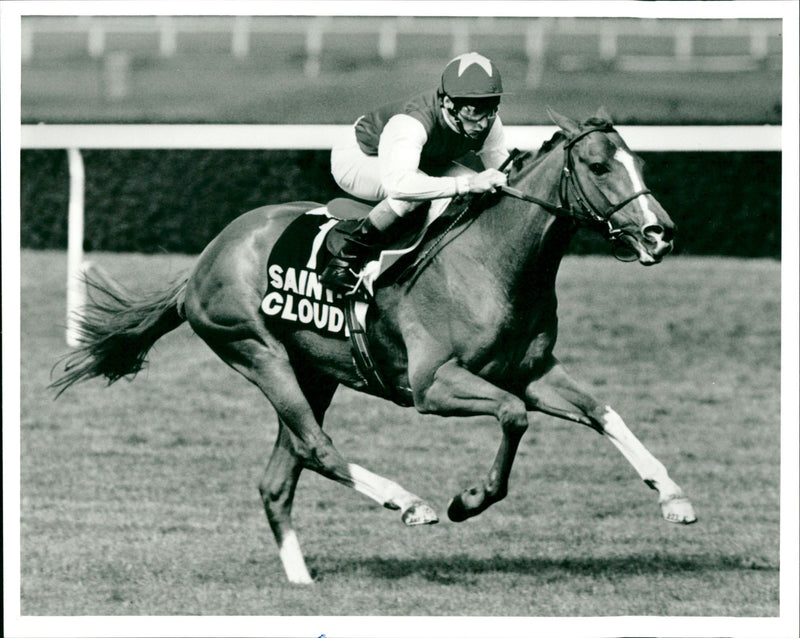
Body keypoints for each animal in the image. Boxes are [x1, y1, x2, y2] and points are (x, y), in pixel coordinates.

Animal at [53, 110, 696, 584]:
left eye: (639, 162)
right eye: (597, 165)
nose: (660, 233)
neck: (493, 263)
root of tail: (203, 263)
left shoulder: (533, 370)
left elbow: (602, 412)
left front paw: (673, 496)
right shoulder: (434, 385)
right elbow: (513, 417)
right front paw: (468, 499)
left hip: (315, 372)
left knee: (280, 477)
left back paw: (302, 580)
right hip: (257, 351)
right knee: (316, 448)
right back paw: (408, 502)